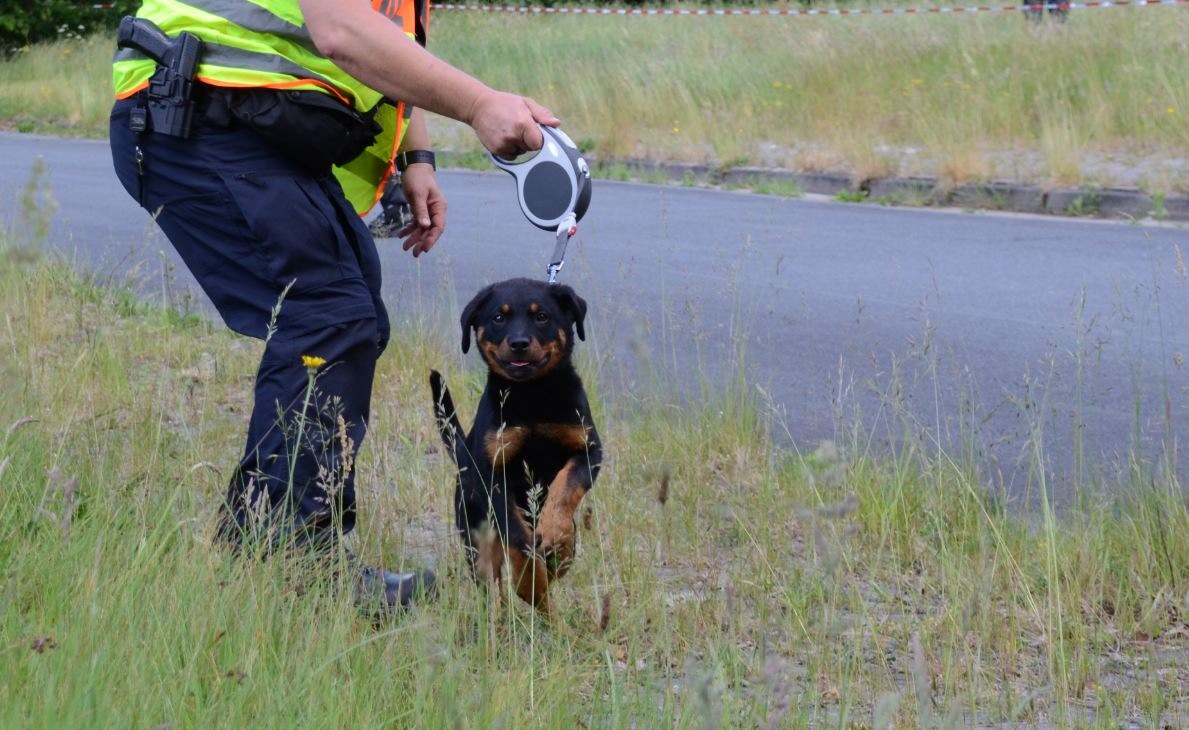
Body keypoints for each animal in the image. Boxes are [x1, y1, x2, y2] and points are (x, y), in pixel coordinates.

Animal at [430, 277, 604, 613]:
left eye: (542, 316)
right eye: (499, 317)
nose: (520, 343)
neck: (532, 394)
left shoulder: (589, 450)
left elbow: (565, 488)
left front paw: (555, 536)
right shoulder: (493, 474)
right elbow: (518, 538)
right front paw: (530, 583)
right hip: (476, 536)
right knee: (491, 586)